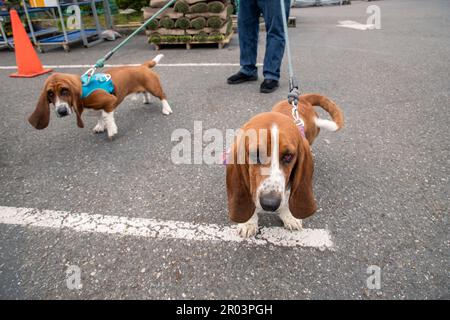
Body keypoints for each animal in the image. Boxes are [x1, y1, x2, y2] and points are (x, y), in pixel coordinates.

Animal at [28, 54, 172, 139]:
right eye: (50, 94)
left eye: (65, 91)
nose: (61, 111)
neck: (84, 89)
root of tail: (142, 66)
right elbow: (100, 116)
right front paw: (100, 126)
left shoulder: (110, 102)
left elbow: (107, 116)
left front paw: (111, 129)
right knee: (145, 92)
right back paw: (146, 100)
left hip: (154, 87)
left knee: (163, 96)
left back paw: (166, 109)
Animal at [225, 94, 344, 236]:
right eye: (256, 154)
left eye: (288, 156)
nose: (270, 204)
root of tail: (303, 98)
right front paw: (248, 222)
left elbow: (287, 196)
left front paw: (289, 216)